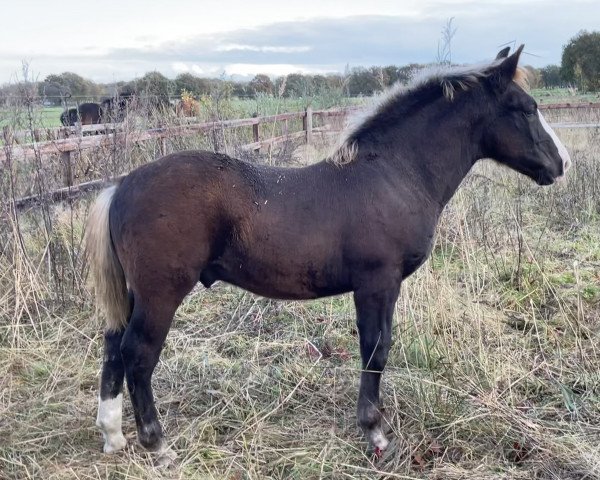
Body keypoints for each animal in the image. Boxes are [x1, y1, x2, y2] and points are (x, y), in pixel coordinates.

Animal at [85, 46, 572, 464]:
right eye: (527, 108)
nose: (561, 163)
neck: (393, 173)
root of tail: (121, 187)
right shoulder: (378, 282)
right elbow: (376, 348)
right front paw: (375, 431)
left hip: (135, 294)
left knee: (113, 345)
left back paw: (113, 435)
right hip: (161, 294)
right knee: (138, 354)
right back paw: (157, 444)